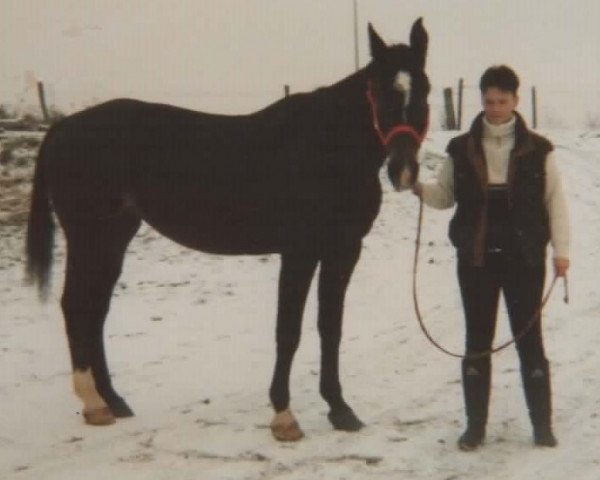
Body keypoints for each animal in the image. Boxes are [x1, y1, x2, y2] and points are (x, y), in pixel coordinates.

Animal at [25, 17, 428, 438]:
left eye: (425, 89)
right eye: (378, 91)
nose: (403, 170)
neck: (327, 149)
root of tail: (62, 128)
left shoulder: (343, 250)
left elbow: (329, 327)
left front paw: (339, 409)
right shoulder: (299, 252)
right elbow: (288, 330)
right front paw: (284, 416)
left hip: (114, 237)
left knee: (96, 310)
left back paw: (113, 401)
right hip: (88, 237)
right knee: (76, 306)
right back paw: (94, 403)